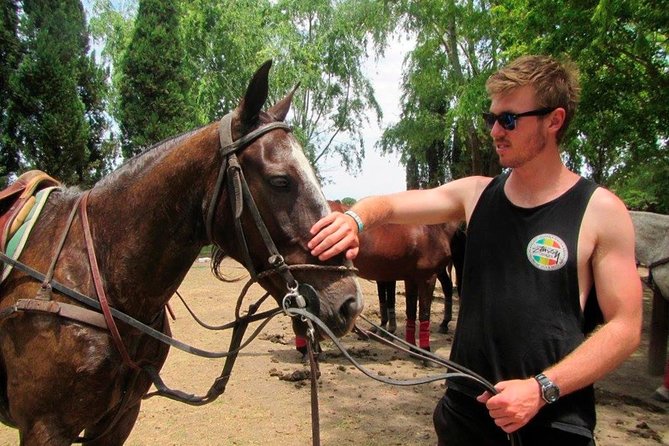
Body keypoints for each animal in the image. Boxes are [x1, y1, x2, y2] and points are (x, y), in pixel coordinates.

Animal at [328, 200, 462, 350]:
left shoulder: (409, 278)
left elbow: (410, 311)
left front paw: (411, 347)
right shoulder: (426, 278)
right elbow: (423, 313)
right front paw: (423, 351)